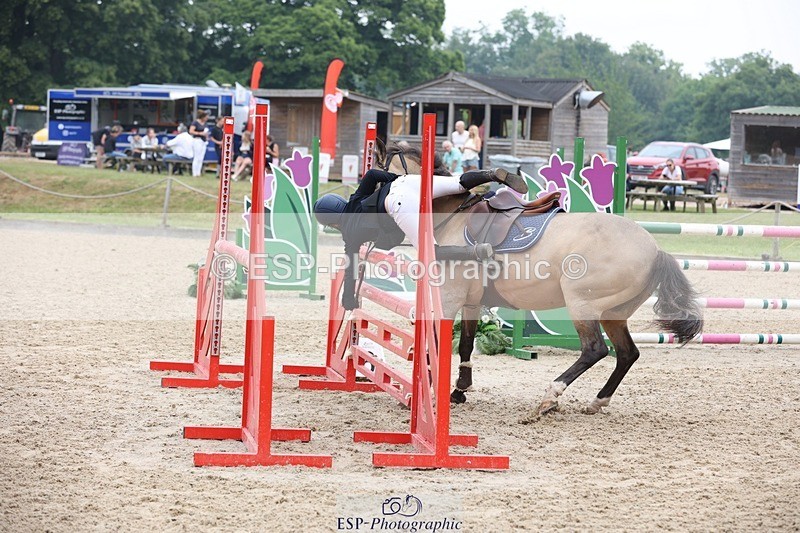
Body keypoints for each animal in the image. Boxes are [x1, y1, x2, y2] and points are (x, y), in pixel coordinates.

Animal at [376, 143, 703, 416]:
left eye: (379, 173)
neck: (453, 216)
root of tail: (655, 250)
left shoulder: (450, 298)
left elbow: (435, 343)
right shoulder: (470, 302)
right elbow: (465, 344)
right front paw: (459, 390)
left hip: (582, 304)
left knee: (595, 349)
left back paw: (550, 397)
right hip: (613, 313)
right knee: (626, 354)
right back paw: (597, 401)